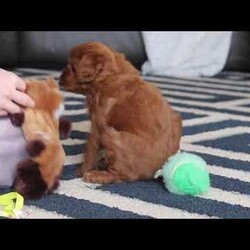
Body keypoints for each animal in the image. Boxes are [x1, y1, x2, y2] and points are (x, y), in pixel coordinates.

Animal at [59, 42, 183, 184]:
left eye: (73, 68)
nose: (59, 79)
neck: (112, 76)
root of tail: (157, 171)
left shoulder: (97, 125)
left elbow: (91, 150)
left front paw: (82, 170)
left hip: (110, 135)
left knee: (120, 176)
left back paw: (98, 175)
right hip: (176, 118)